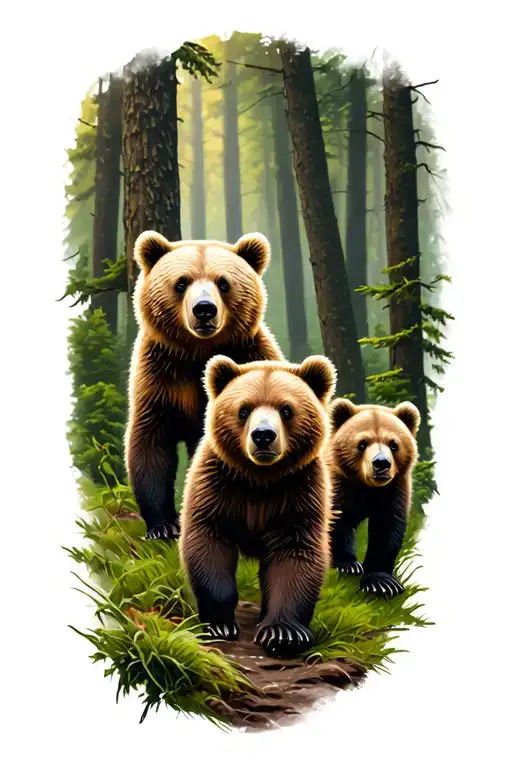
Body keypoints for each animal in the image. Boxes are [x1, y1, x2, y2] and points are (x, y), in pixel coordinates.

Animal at [125, 230, 283, 541]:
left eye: (223, 282)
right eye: (181, 282)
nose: (204, 309)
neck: (199, 353)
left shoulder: (249, 357)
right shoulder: (161, 379)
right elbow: (152, 443)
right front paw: (164, 525)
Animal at [179, 354, 336, 658]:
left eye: (286, 410)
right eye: (244, 410)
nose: (263, 435)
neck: (260, 479)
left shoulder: (299, 493)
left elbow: (295, 553)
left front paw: (283, 633)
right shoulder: (219, 486)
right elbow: (208, 542)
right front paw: (219, 623)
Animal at [326, 398, 420, 598]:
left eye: (394, 444)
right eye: (362, 443)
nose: (381, 463)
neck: (364, 485)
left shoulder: (394, 489)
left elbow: (386, 528)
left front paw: (382, 583)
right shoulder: (336, 482)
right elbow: (335, 519)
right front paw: (346, 565)